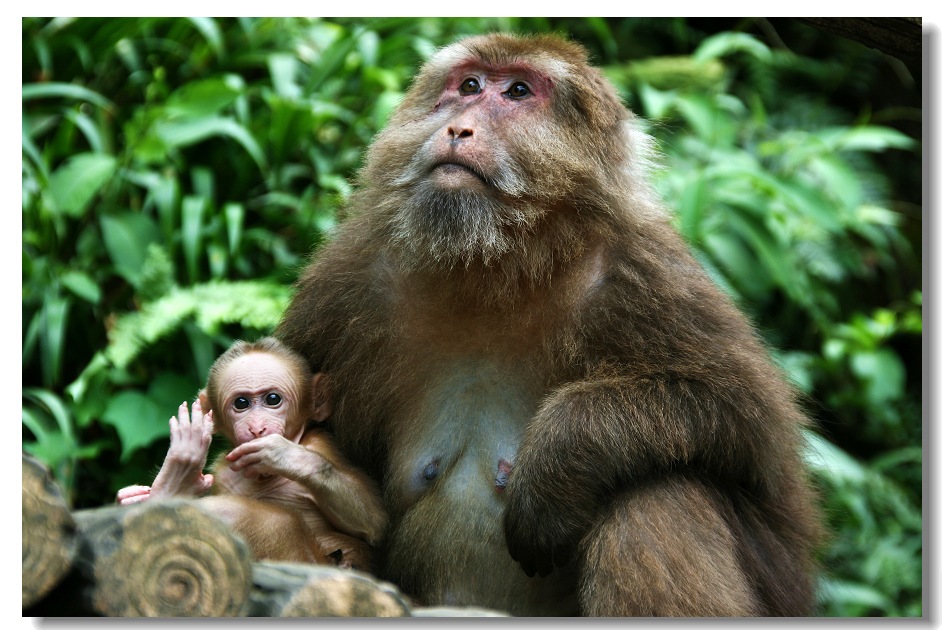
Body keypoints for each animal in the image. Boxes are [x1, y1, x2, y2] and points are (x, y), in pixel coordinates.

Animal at [118, 338, 388, 572]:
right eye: (241, 403)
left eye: (273, 399)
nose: (257, 428)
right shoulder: (223, 473)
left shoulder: (320, 445)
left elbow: (374, 524)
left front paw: (281, 454)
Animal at [276, 33, 824, 616]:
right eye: (469, 85)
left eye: (518, 91)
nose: (459, 128)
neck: (491, 267)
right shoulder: (349, 279)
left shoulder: (647, 274)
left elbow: (743, 420)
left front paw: (554, 464)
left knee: (660, 493)